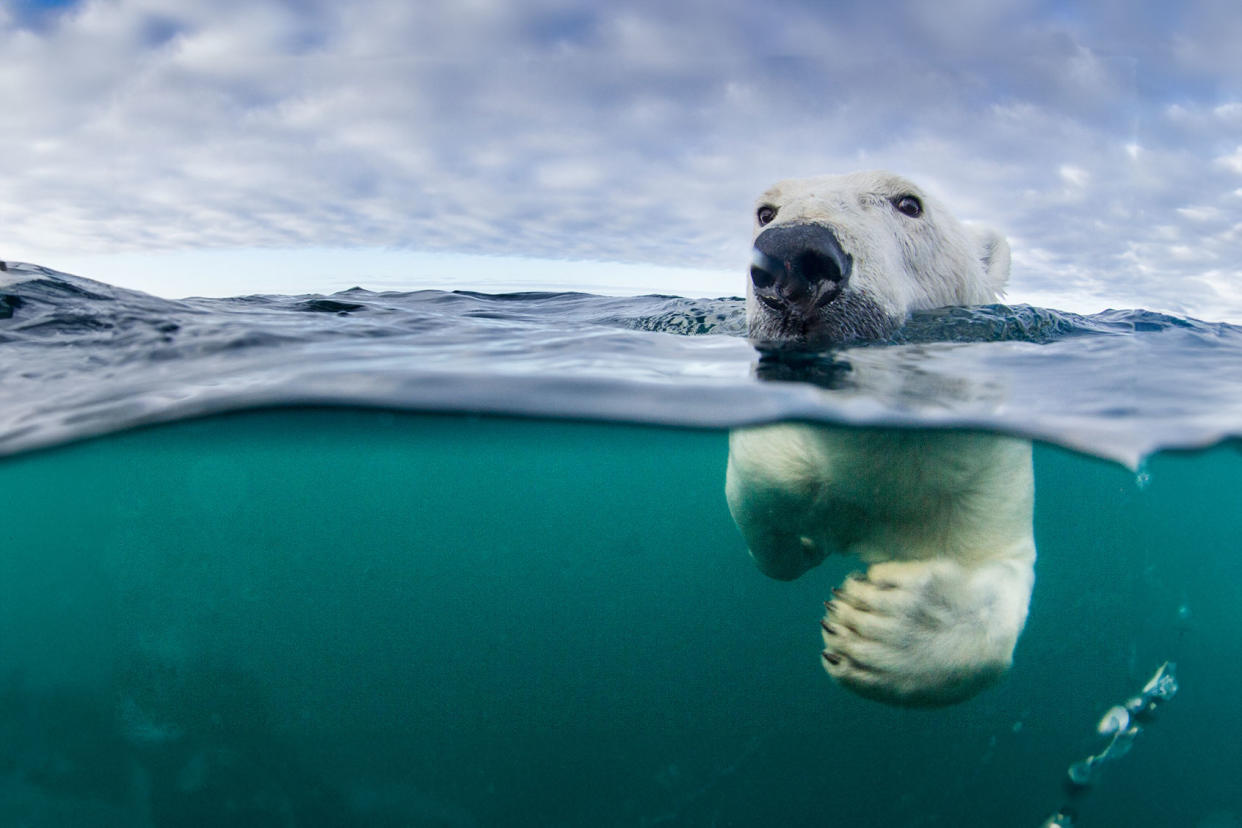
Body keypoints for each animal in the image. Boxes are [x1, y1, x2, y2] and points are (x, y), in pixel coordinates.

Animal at [725, 171, 1033, 710]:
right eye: (766, 211)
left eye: (909, 203)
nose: (793, 256)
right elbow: (761, 489)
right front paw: (803, 543)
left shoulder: (988, 466)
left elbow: (998, 566)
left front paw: (878, 627)